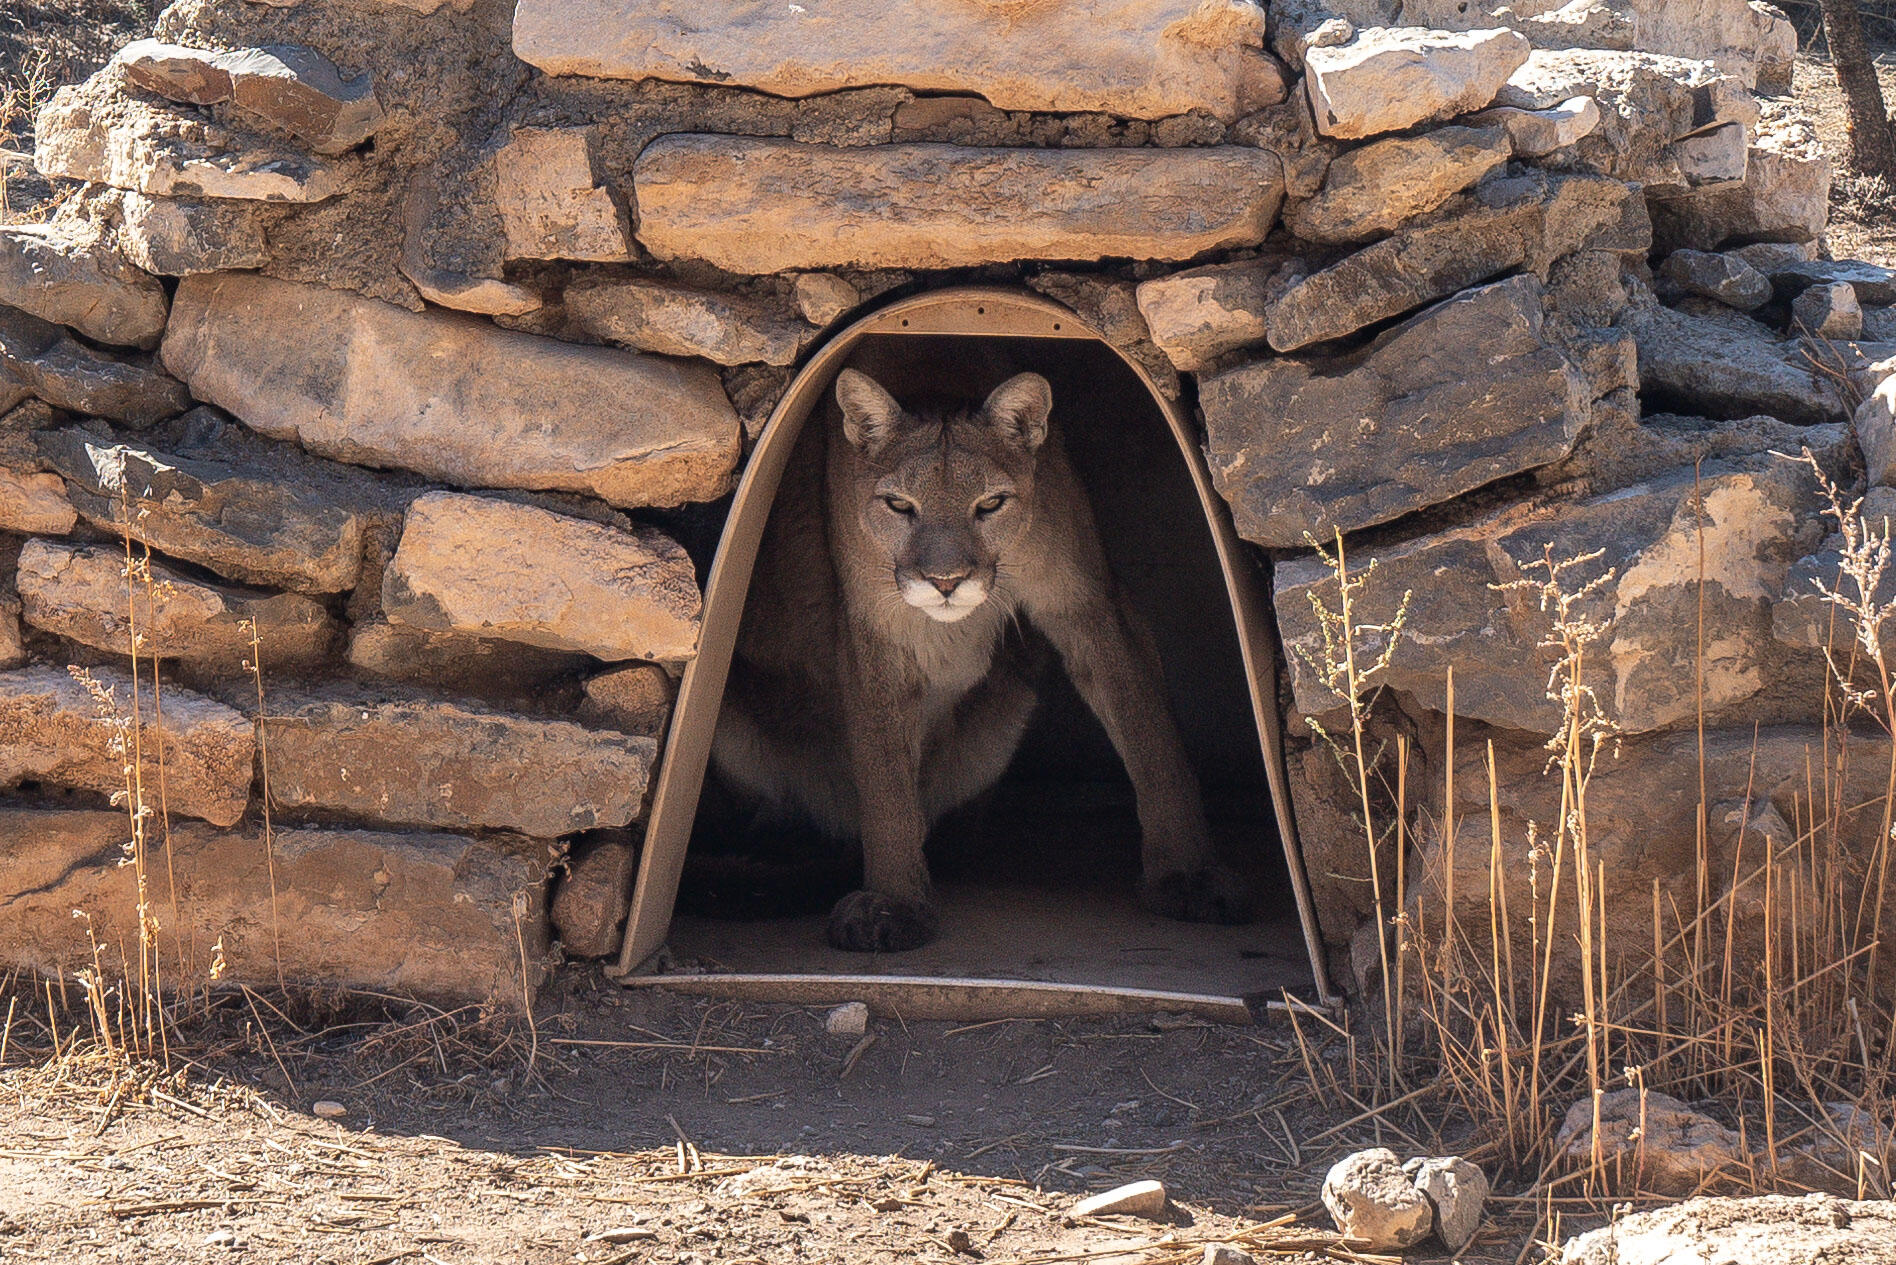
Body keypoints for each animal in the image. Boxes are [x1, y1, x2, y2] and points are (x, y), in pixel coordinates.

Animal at [705, 356, 1251, 948]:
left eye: (989, 504)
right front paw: (895, 902)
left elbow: (1151, 735)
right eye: (899, 505)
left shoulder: (1088, 602)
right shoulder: (876, 631)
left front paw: (1189, 876)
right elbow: (884, 776)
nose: (945, 582)